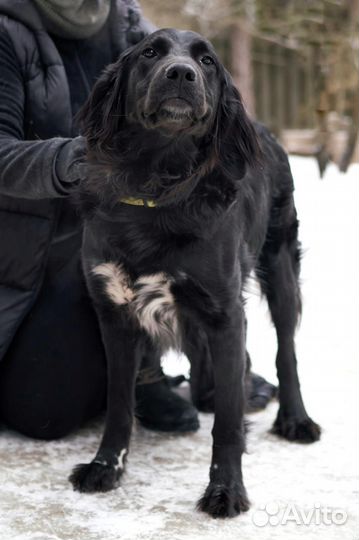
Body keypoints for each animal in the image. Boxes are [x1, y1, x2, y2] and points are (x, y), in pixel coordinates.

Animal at [69, 27, 322, 516]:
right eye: (150, 53)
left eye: (206, 61)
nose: (181, 73)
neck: (155, 190)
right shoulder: (115, 314)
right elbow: (118, 405)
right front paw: (107, 466)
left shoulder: (225, 314)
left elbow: (227, 422)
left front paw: (226, 489)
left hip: (280, 265)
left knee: (286, 351)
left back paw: (295, 418)